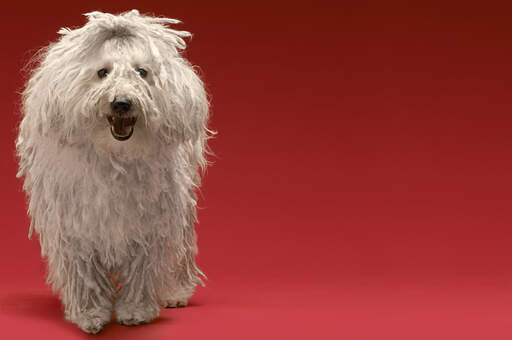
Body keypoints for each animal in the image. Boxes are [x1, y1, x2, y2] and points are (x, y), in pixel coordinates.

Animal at [16, 9, 211, 334]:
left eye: (142, 72)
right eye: (102, 72)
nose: (122, 102)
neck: (116, 157)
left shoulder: (151, 223)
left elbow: (143, 267)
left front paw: (136, 310)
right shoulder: (74, 225)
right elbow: (83, 272)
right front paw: (90, 314)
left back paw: (176, 291)